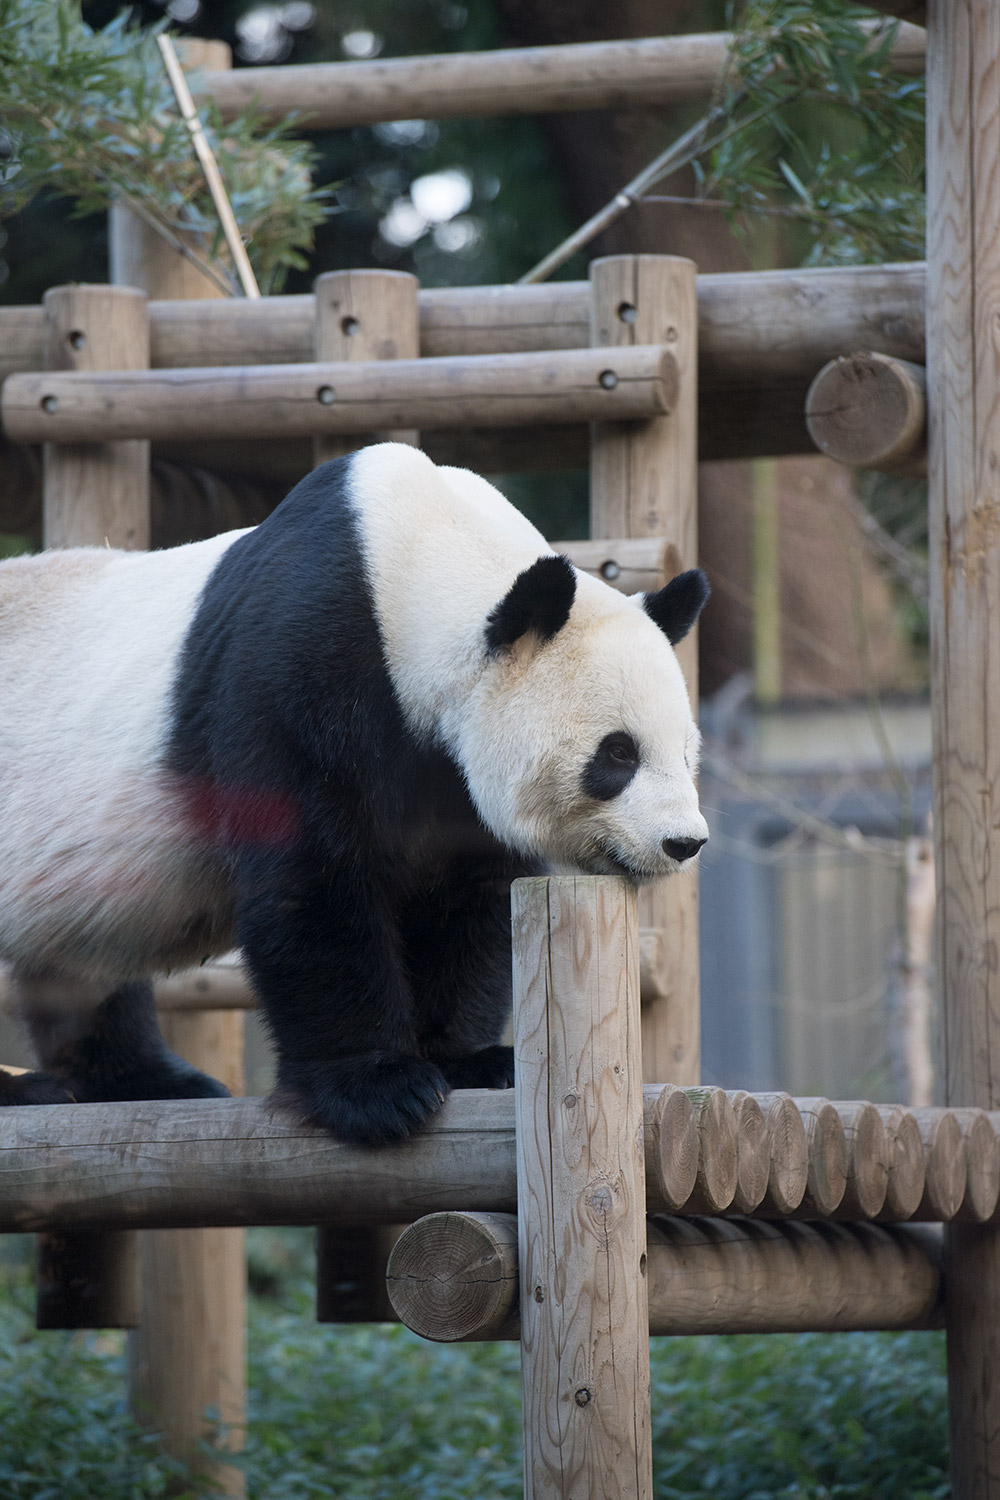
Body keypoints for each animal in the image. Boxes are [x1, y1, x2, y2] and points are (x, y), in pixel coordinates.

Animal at [0, 438, 707, 1140]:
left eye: (686, 752)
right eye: (618, 753)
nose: (683, 843)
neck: (418, 564)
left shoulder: (449, 778)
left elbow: (467, 901)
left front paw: (469, 1061)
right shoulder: (298, 666)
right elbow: (312, 877)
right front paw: (380, 1087)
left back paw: (149, 1080)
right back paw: (38, 1091)